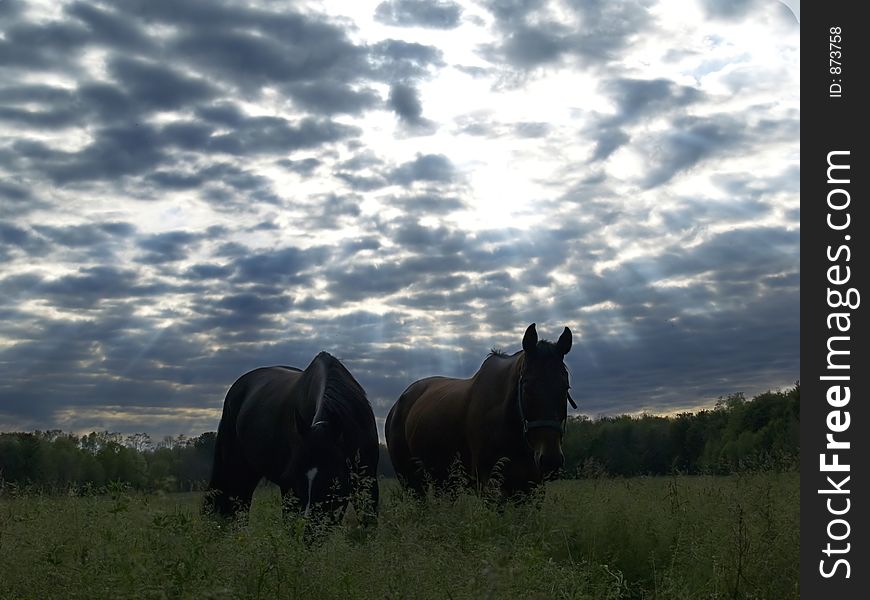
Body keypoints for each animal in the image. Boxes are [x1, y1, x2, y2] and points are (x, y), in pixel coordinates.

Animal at [208, 352, 382, 524]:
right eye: (295, 476)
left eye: (333, 480)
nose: (309, 527)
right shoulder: (289, 486)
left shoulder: (367, 480)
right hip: (238, 468)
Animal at [384, 324, 576, 496]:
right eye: (527, 386)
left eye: (565, 387)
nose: (550, 460)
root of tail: (397, 404)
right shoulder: (491, 486)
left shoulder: (532, 488)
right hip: (411, 480)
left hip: (445, 481)